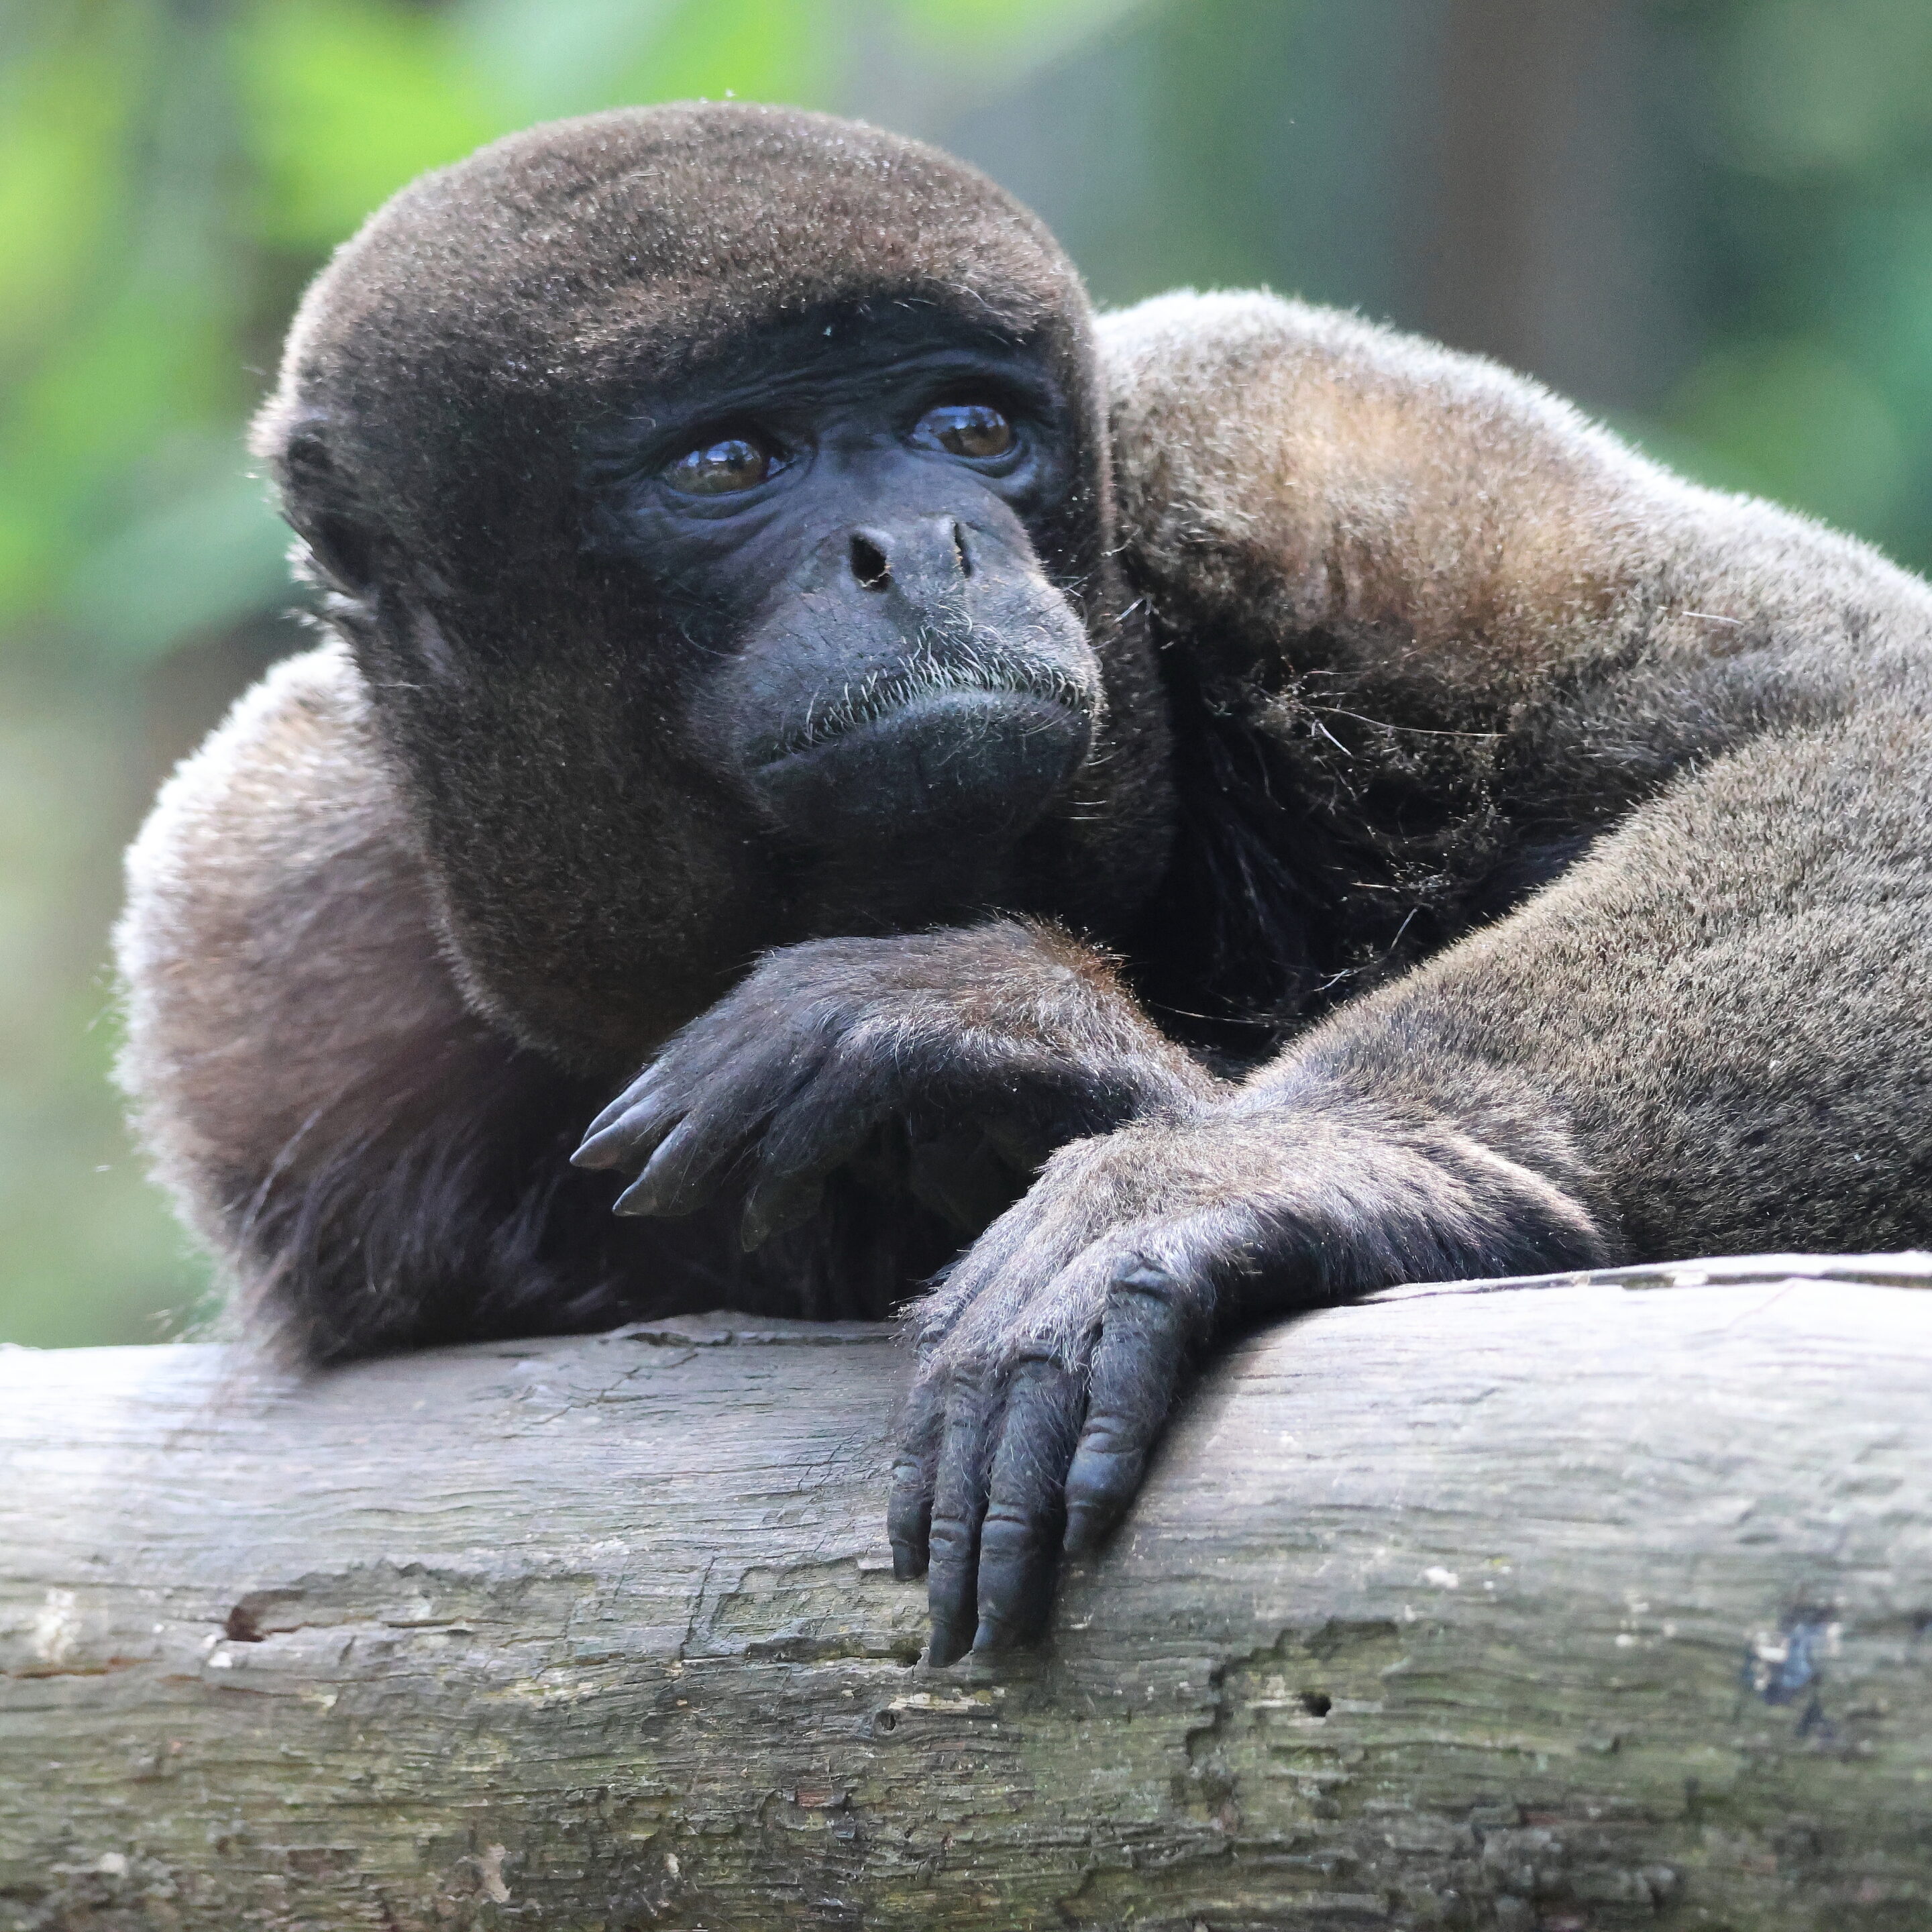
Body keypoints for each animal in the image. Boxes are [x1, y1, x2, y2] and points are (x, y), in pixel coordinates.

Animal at [116, 104, 1932, 1668]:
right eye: (727, 463)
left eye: (973, 430)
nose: (922, 548)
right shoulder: (260, 965)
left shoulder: (1303, 448)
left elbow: (1867, 720)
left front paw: (1256, 1145)